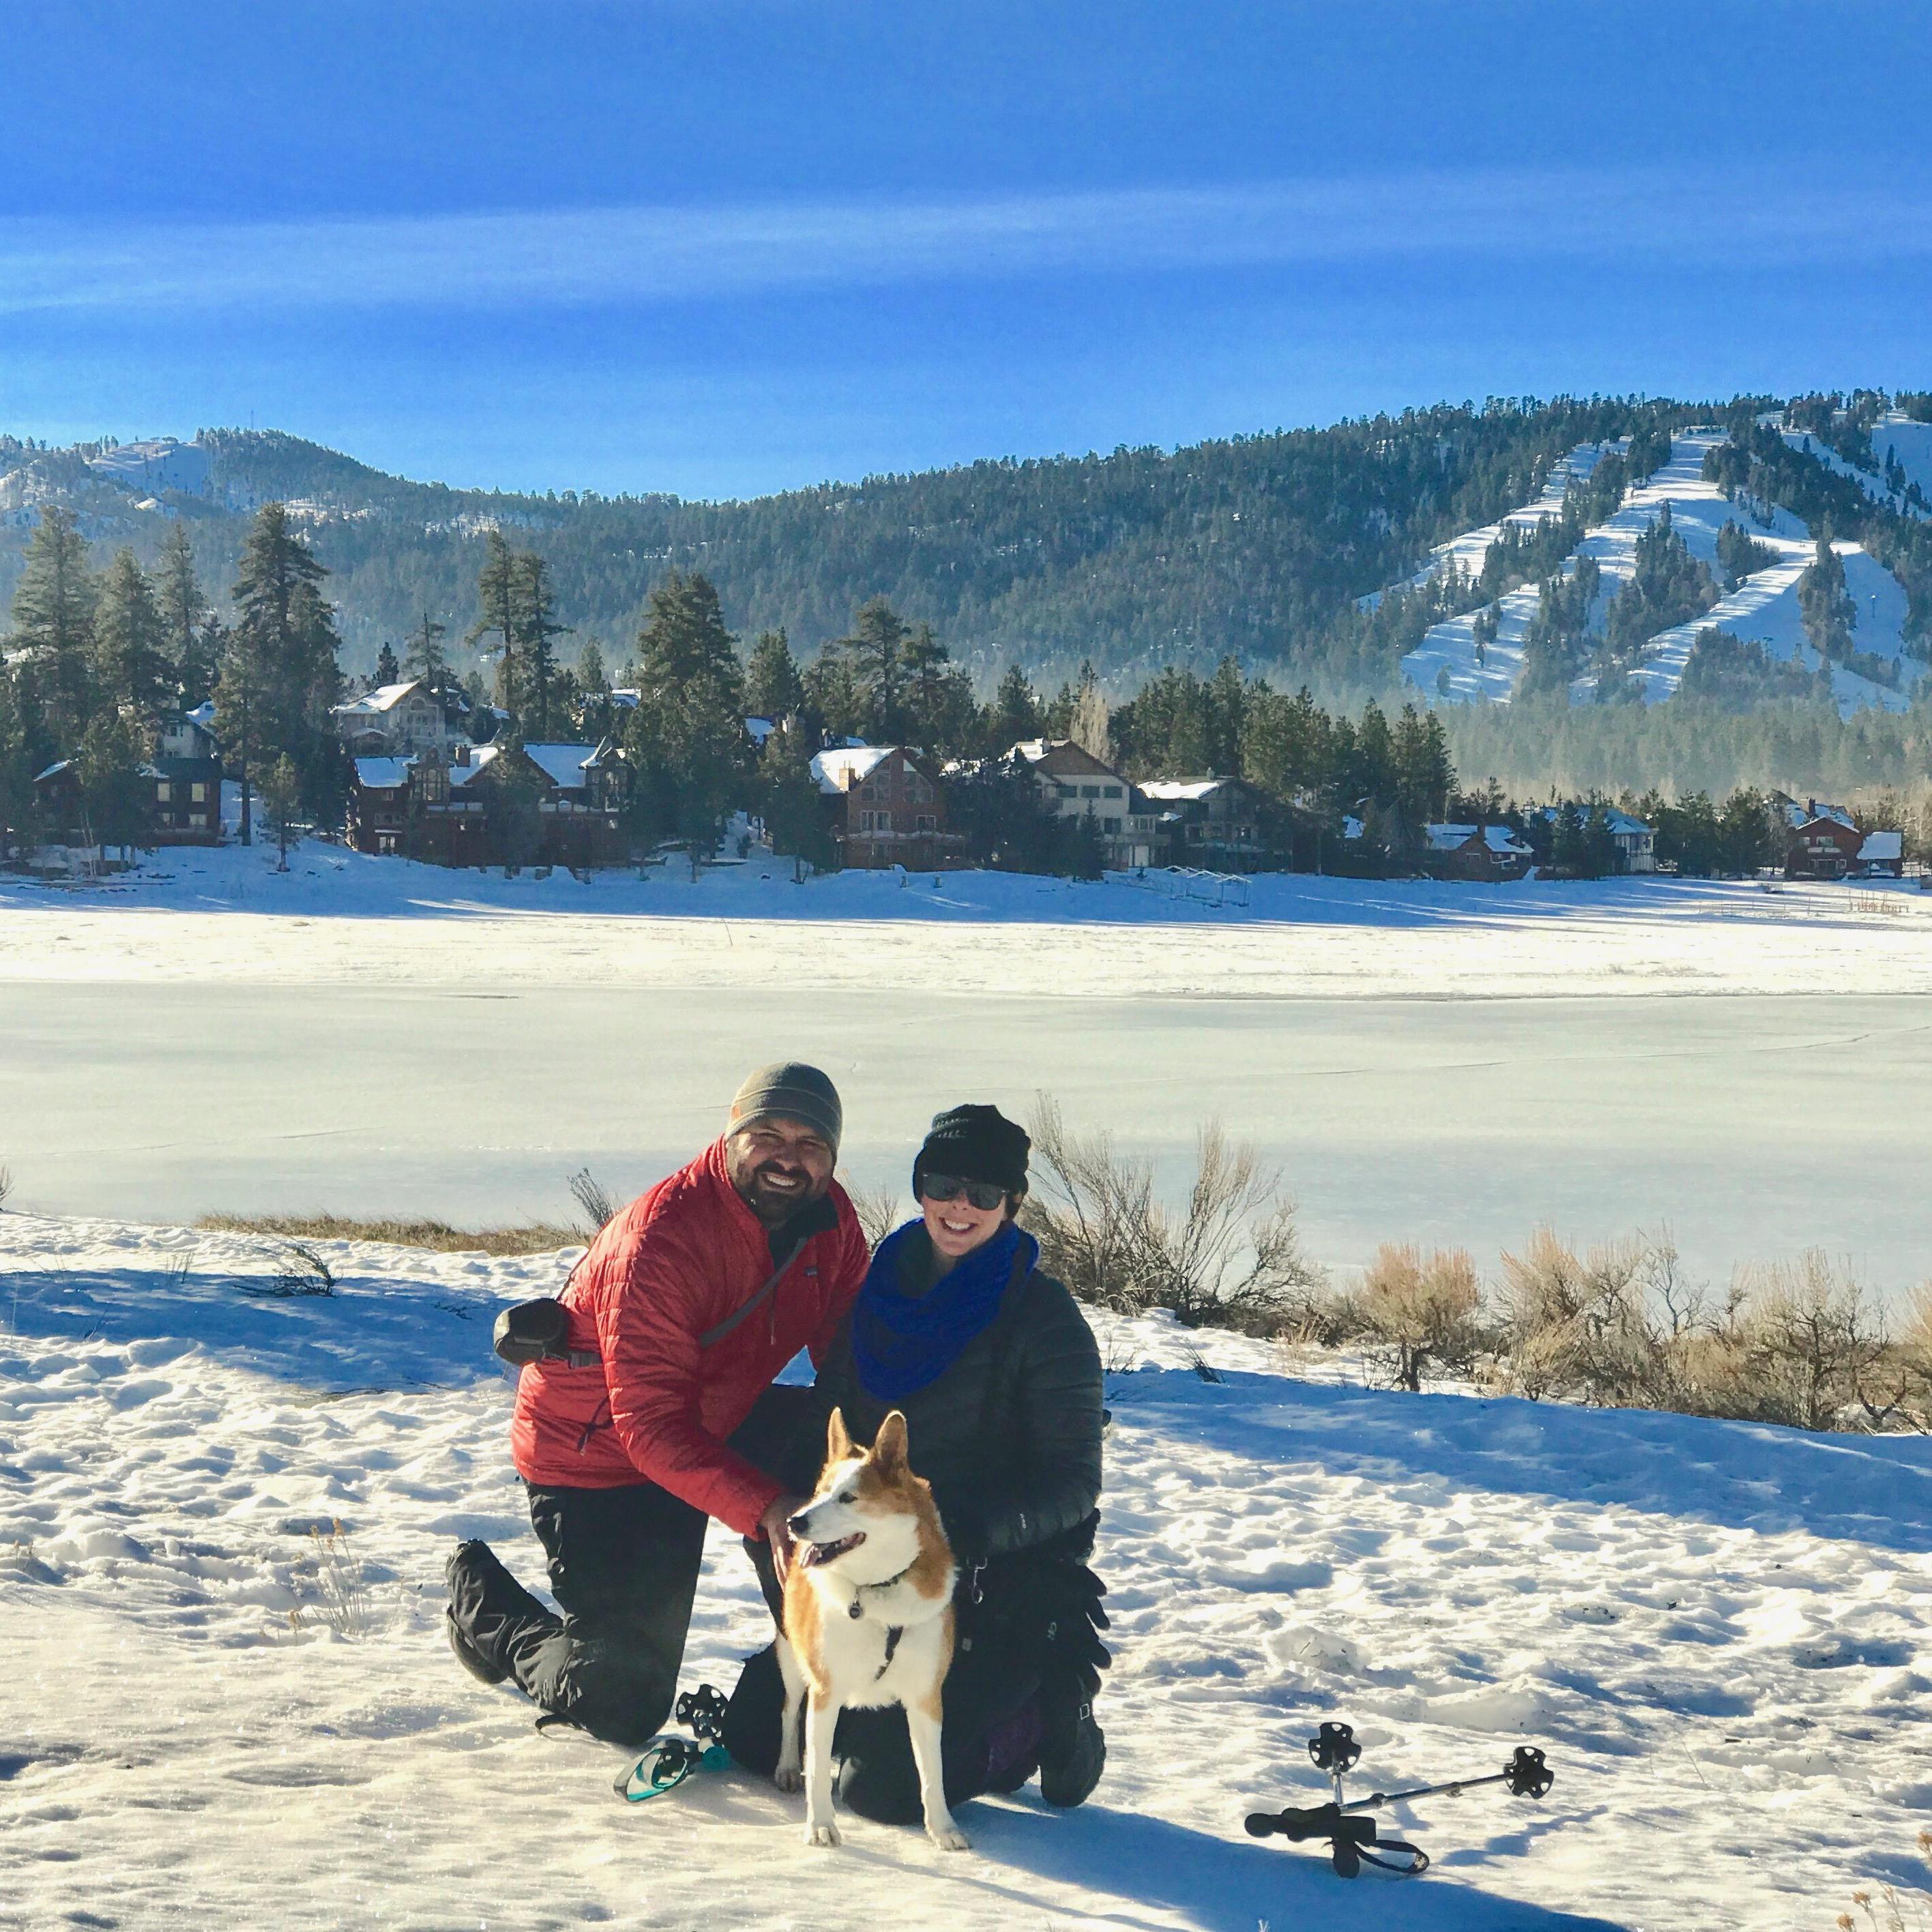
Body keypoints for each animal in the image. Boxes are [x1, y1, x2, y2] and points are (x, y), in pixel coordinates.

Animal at [776, 1414, 974, 1847]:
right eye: (820, 1493)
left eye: (848, 1498)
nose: (796, 1521)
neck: (878, 1588)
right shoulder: (825, 1691)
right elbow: (818, 1769)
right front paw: (821, 1825)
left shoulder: (926, 1697)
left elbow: (932, 1774)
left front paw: (943, 1829)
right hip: (791, 1658)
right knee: (789, 1712)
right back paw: (787, 1767)